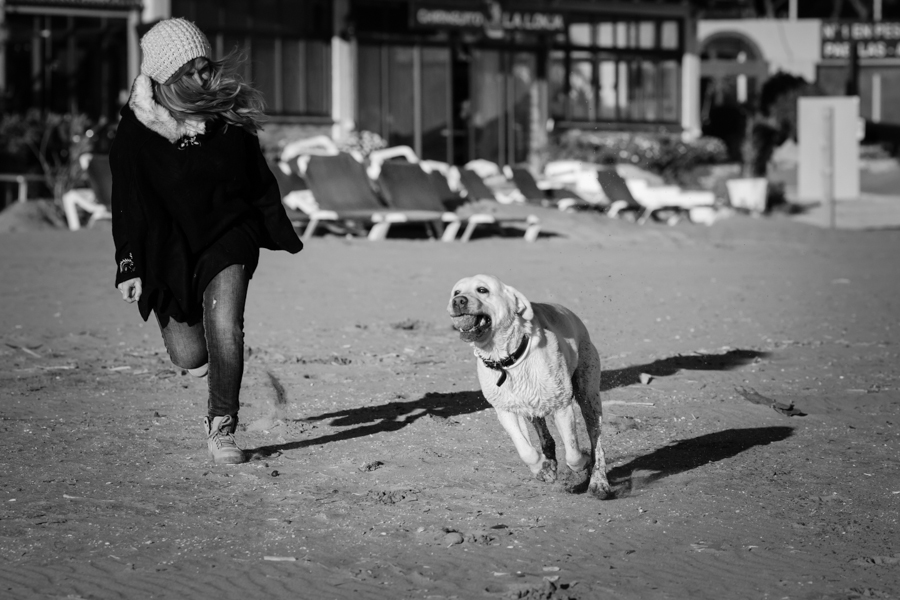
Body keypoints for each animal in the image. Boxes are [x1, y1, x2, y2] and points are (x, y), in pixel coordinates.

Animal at [448, 274, 612, 500]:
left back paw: (599, 482)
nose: (458, 301)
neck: (505, 358)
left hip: (589, 393)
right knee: (545, 436)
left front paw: (583, 463)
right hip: (531, 405)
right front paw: (542, 469)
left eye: (482, 290)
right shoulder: (505, 409)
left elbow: (573, 454)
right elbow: (525, 450)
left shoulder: (562, 406)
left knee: (597, 439)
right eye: (456, 292)